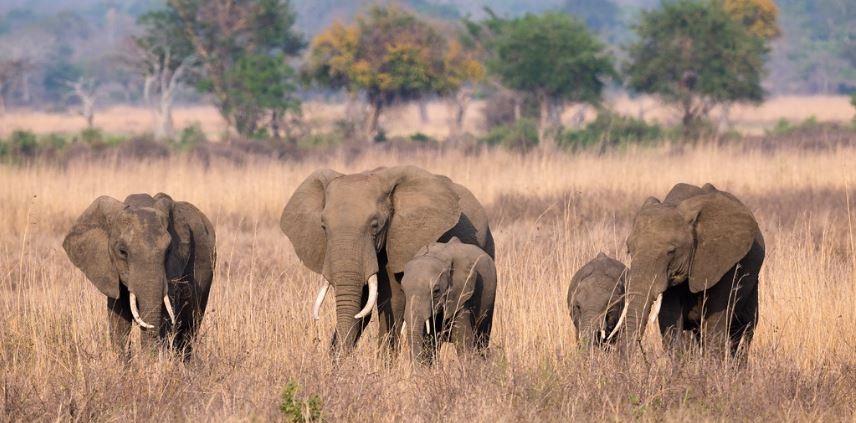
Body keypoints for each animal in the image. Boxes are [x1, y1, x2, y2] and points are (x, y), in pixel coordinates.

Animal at [609, 183, 764, 364]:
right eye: (629, 250)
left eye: (671, 251)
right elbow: (670, 319)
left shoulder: (726, 263)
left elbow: (715, 320)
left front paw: (713, 369)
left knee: (743, 329)